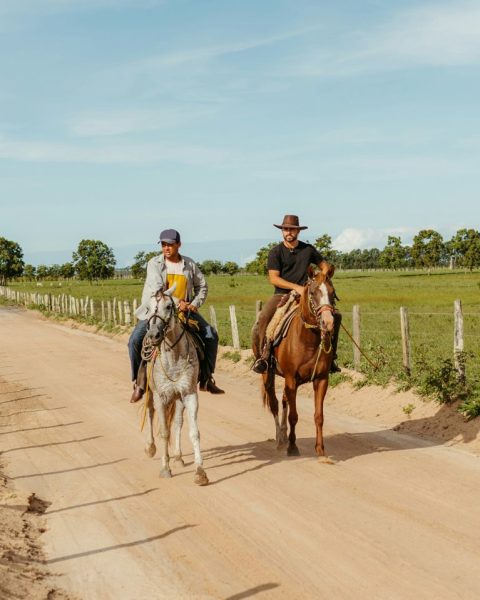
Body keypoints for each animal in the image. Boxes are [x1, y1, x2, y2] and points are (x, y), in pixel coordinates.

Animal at [142, 287, 209, 486]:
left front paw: (200, 472)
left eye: (169, 306)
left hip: (178, 397)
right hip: (150, 393)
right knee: (150, 413)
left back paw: (178, 457)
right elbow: (164, 432)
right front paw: (165, 468)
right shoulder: (160, 396)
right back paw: (150, 447)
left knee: (178, 422)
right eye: (148, 308)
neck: (173, 355)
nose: (153, 335)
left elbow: (194, 432)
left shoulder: (189, 393)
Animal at [258, 266, 337, 459]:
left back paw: (284, 435)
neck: (308, 339)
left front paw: (320, 450)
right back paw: (280, 439)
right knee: (275, 403)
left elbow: (319, 416)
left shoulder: (321, 379)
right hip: (267, 375)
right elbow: (293, 416)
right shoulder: (291, 379)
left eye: (333, 292)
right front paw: (292, 447)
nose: (328, 322)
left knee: (284, 400)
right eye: (313, 292)